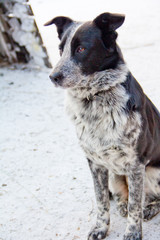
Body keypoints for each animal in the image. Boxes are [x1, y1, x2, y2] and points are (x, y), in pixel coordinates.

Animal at [44, 13, 160, 240]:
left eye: (81, 49)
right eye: (61, 50)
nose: (53, 77)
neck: (95, 98)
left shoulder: (136, 164)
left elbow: (135, 206)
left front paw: (133, 233)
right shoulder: (96, 163)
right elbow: (101, 201)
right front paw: (100, 228)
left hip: (152, 172)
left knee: (149, 198)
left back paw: (149, 207)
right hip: (115, 174)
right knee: (122, 196)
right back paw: (122, 204)